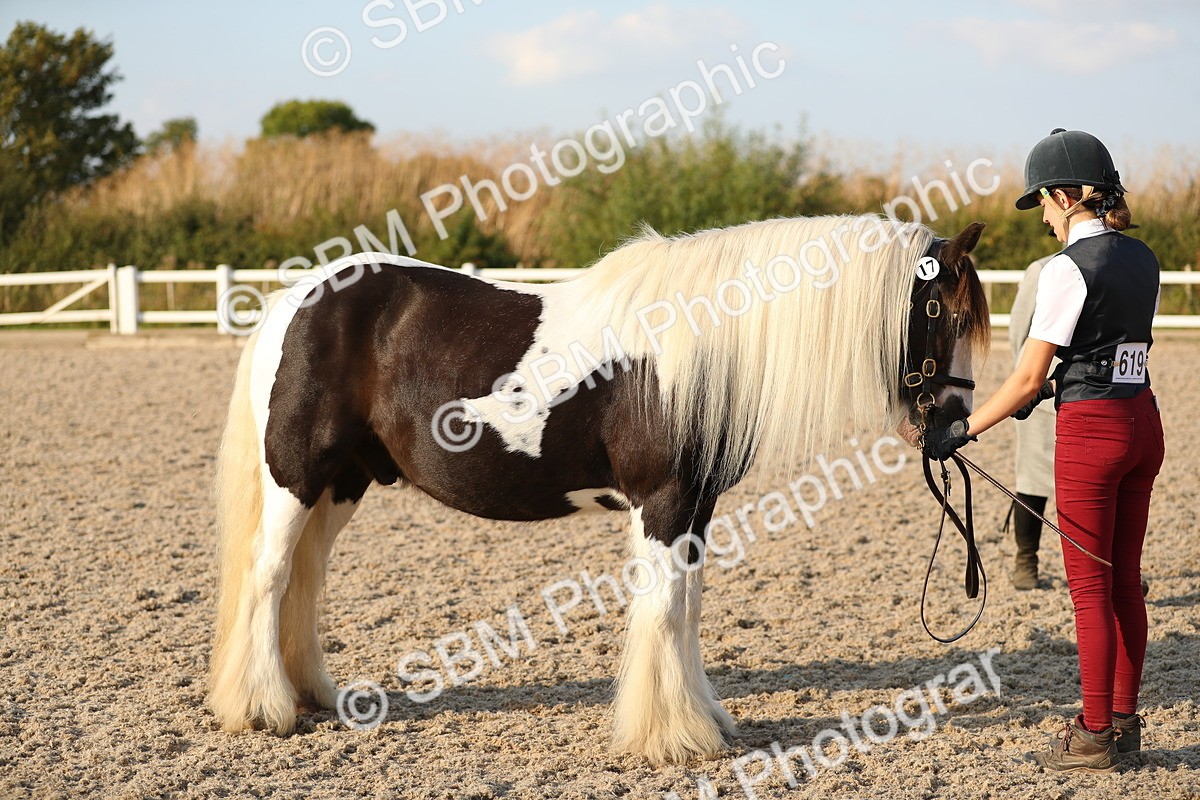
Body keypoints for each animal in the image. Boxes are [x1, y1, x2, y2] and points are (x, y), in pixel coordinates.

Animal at [207, 213, 990, 765]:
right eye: (945, 315)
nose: (954, 426)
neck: (699, 348)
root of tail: (296, 299)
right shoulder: (663, 503)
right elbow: (664, 611)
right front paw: (672, 738)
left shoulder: (697, 506)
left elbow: (688, 610)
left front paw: (704, 718)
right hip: (297, 477)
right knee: (269, 574)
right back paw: (262, 710)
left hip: (344, 482)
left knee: (305, 579)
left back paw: (311, 695)